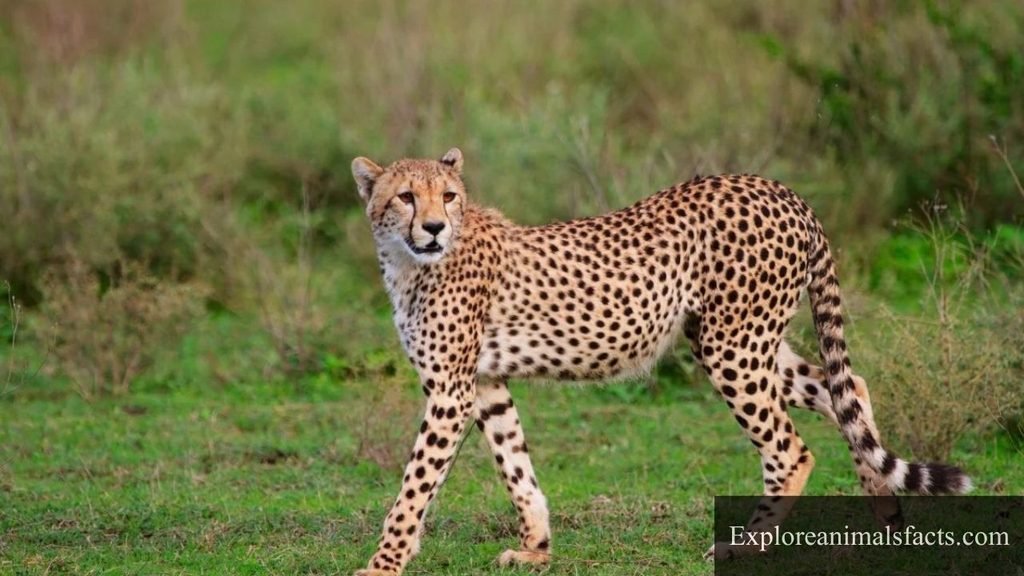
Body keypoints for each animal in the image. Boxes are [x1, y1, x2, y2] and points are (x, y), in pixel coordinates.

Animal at [349, 148, 971, 575]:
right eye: (406, 197)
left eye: (448, 196)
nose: (434, 227)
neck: (409, 262)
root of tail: (779, 189)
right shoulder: (484, 384)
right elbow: (515, 465)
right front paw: (536, 549)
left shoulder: (450, 392)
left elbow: (414, 487)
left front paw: (383, 564)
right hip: (748, 342)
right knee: (848, 389)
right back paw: (885, 514)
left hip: (731, 346)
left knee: (791, 447)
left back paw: (745, 545)